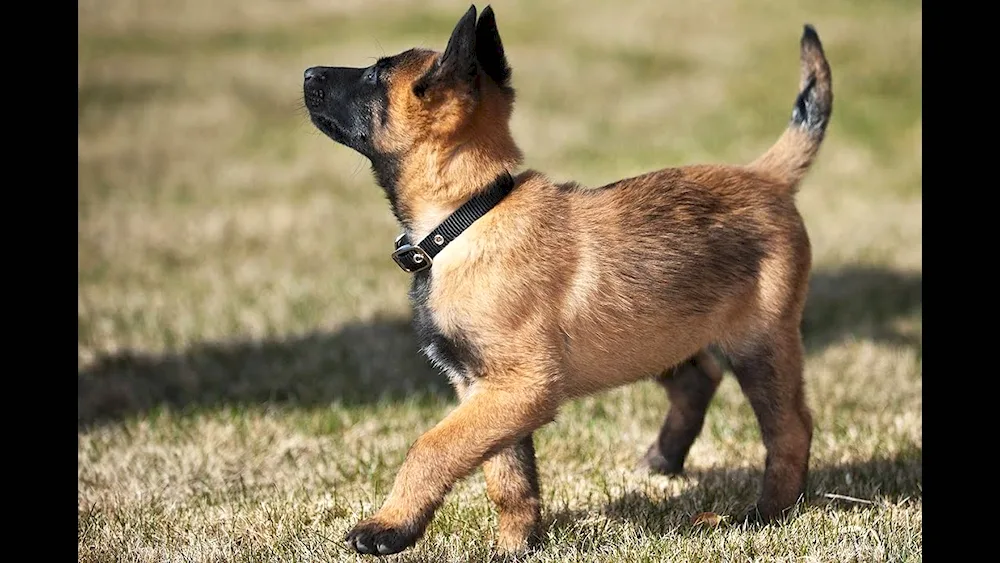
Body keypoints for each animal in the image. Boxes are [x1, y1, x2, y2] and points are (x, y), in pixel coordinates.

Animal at [300, 4, 832, 556]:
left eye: (375, 77)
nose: (308, 73)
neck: (468, 215)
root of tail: (766, 177)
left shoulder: (522, 386)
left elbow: (432, 448)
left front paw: (389, 526)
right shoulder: (484, 390)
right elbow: (509, 478)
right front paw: (516, 546)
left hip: (758, 342)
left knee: (791, 428)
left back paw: (768, 512)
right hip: (655, 331)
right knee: (700, 379)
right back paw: (662, 461)